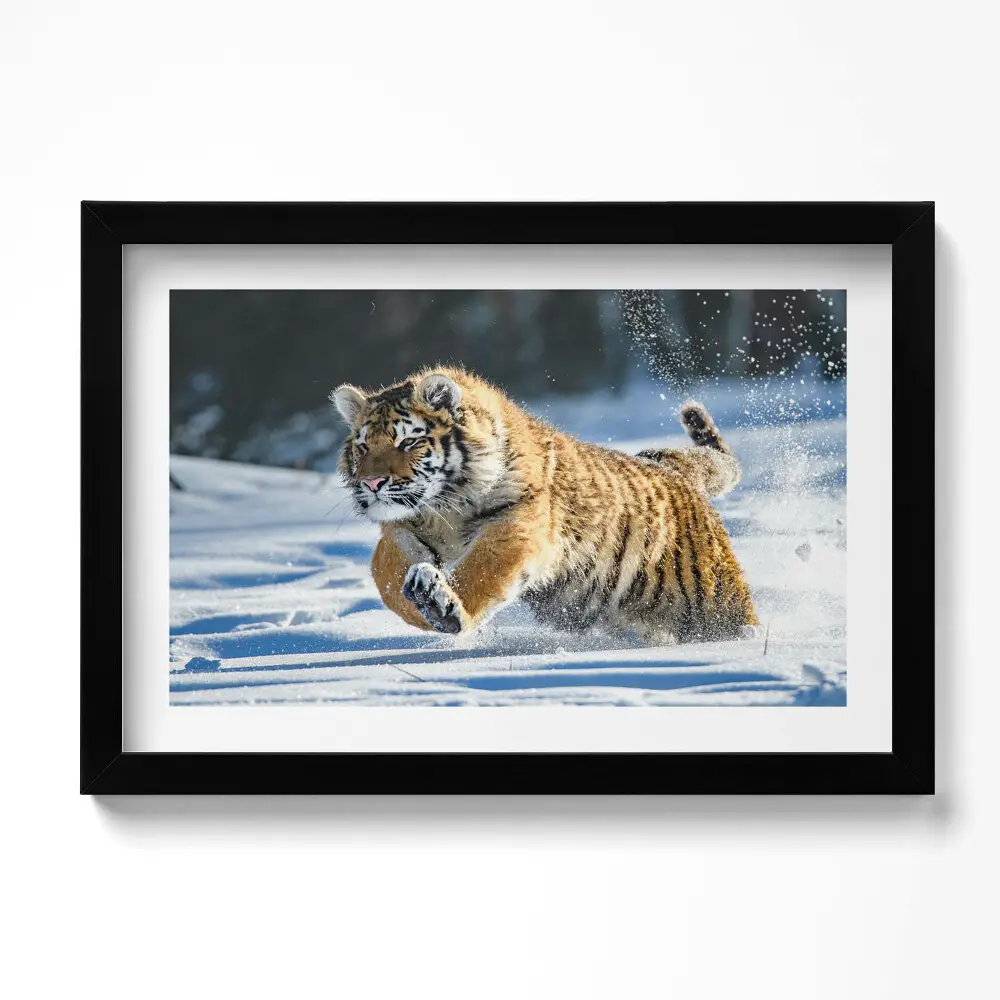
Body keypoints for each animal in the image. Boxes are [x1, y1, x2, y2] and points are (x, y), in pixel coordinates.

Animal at [331, 366, 758, 645]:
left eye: (409, 442)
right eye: (363, 446)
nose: (371, 483)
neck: (446, 506)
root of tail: (670, 467)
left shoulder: (517, 523)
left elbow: (481, 570)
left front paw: (443, 607)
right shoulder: (404, 528)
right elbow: (385, 574)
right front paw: (419, 600)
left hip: (715, 599)